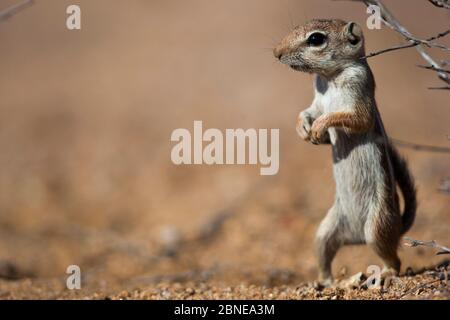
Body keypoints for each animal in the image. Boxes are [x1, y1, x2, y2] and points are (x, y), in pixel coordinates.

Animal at [274, 19, 418, 284]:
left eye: (316, 39)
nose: (276, 53)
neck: (330, 78)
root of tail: (356, 238)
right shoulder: (317, 101)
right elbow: (308, 111)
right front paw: (303, 129)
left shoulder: (359, 89)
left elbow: (352, 118)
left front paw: (319, 128)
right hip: (326, 230)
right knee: (324, 251)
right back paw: (325, 282)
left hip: (377, 227)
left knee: (394, 259)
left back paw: (383, 275)